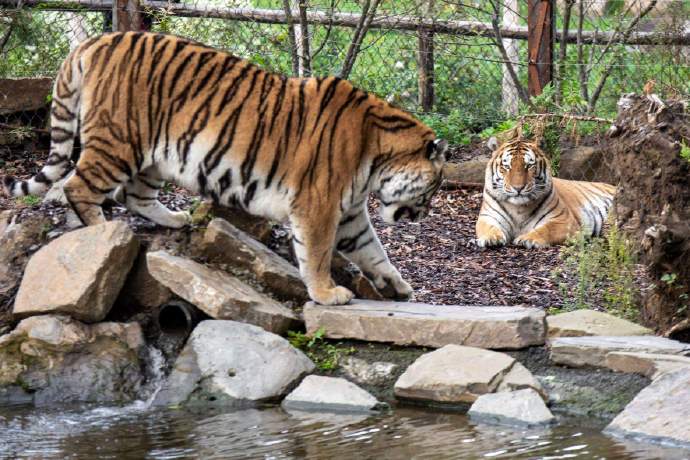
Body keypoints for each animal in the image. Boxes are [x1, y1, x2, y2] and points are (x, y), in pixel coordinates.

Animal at [2, 32, 444, 306]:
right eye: (435, 187)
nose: (422, 215)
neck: (377, 154)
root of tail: (95, 41)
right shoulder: (317, 204)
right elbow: (317, 253)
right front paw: (327, 293)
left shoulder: (349, 212)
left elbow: (374, 250)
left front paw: (397, 285)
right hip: (119, 141)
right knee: (79, 187)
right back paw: (101, 232)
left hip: (154, 155)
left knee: (133, 194)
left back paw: (176, 219)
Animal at [476, 137, 616, 248]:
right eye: (506, 166)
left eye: (529, 166)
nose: (518, 188)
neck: (518, 208)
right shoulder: (487, 216)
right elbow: (487, 227)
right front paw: (491, 238)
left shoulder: (564, 220)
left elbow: (547, 229)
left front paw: (527, 239)